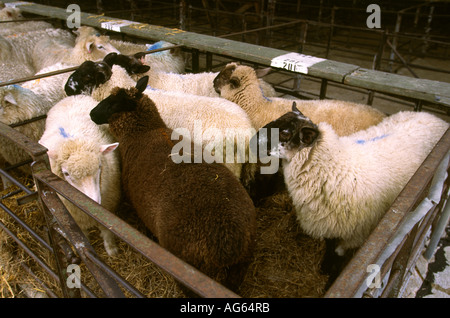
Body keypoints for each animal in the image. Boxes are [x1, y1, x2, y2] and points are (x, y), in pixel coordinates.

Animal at [38, 94, 121, 256]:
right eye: (66, 173)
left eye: (99, 166)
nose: (94, 202)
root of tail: (74, 96)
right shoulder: (75, 219)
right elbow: (81, 239)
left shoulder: (107, 206)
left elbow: (107, 231)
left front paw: (111, 249)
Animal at [89, 75, 256, 294]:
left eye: (113, 103)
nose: (91, 113)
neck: (144, 131)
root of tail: (227, 242)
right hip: (238, 269)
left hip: (189, 270)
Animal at [256, 102, 450, 256]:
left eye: (285, 133)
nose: (253, 141)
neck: (334, 168)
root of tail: (432, 116)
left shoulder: (355, 235)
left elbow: (336, 254)